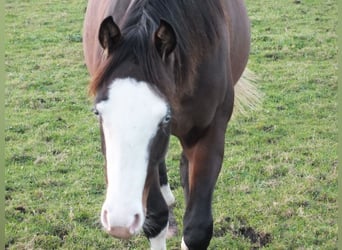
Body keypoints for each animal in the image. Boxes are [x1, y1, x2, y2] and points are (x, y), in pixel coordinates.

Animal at [82, 0, 260, 249]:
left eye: (164, 118)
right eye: (98, 112)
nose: (119, 221)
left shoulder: (209, 134)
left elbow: (197, 229)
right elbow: (156, 218)